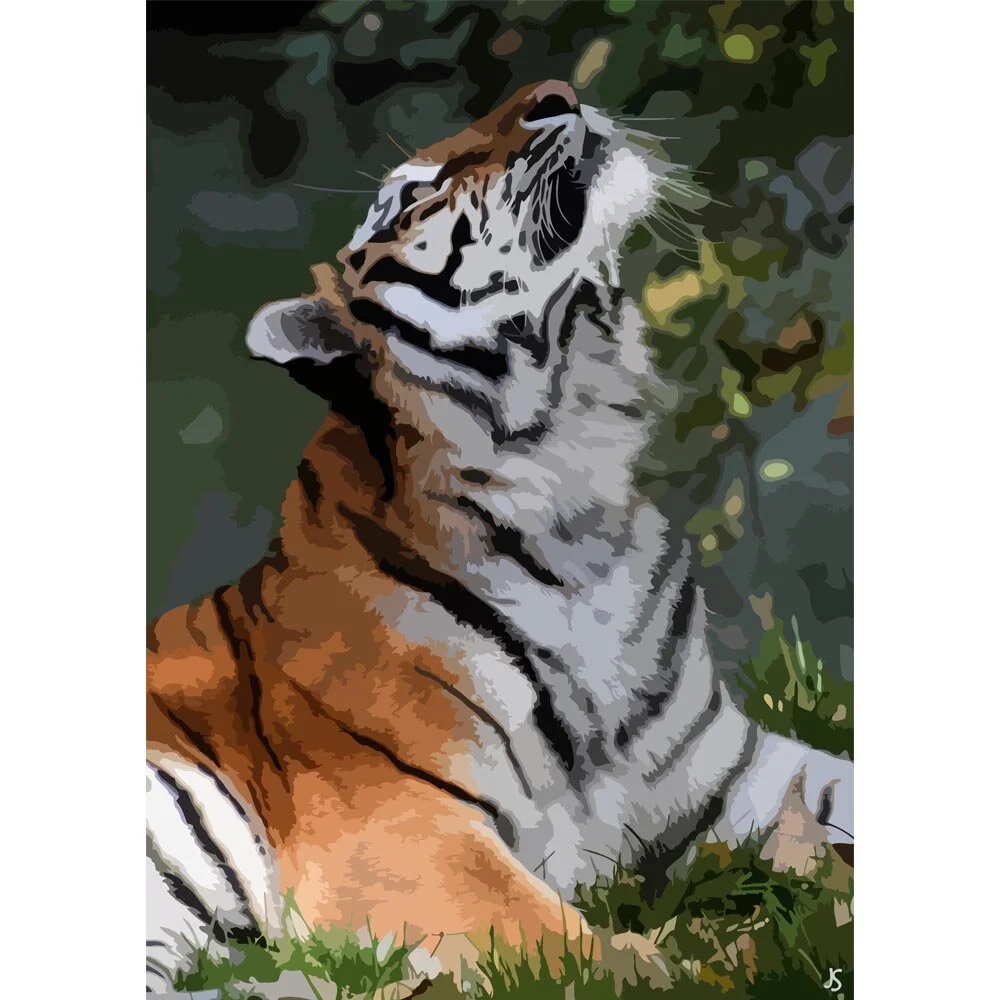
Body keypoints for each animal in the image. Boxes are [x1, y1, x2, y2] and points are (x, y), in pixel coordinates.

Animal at [146, 80, 853, 993]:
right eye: (417, 195)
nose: (556, 93)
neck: (572, 487)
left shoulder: (728, 772)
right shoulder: (398, 826)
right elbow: (582, 951)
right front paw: (719, 958)